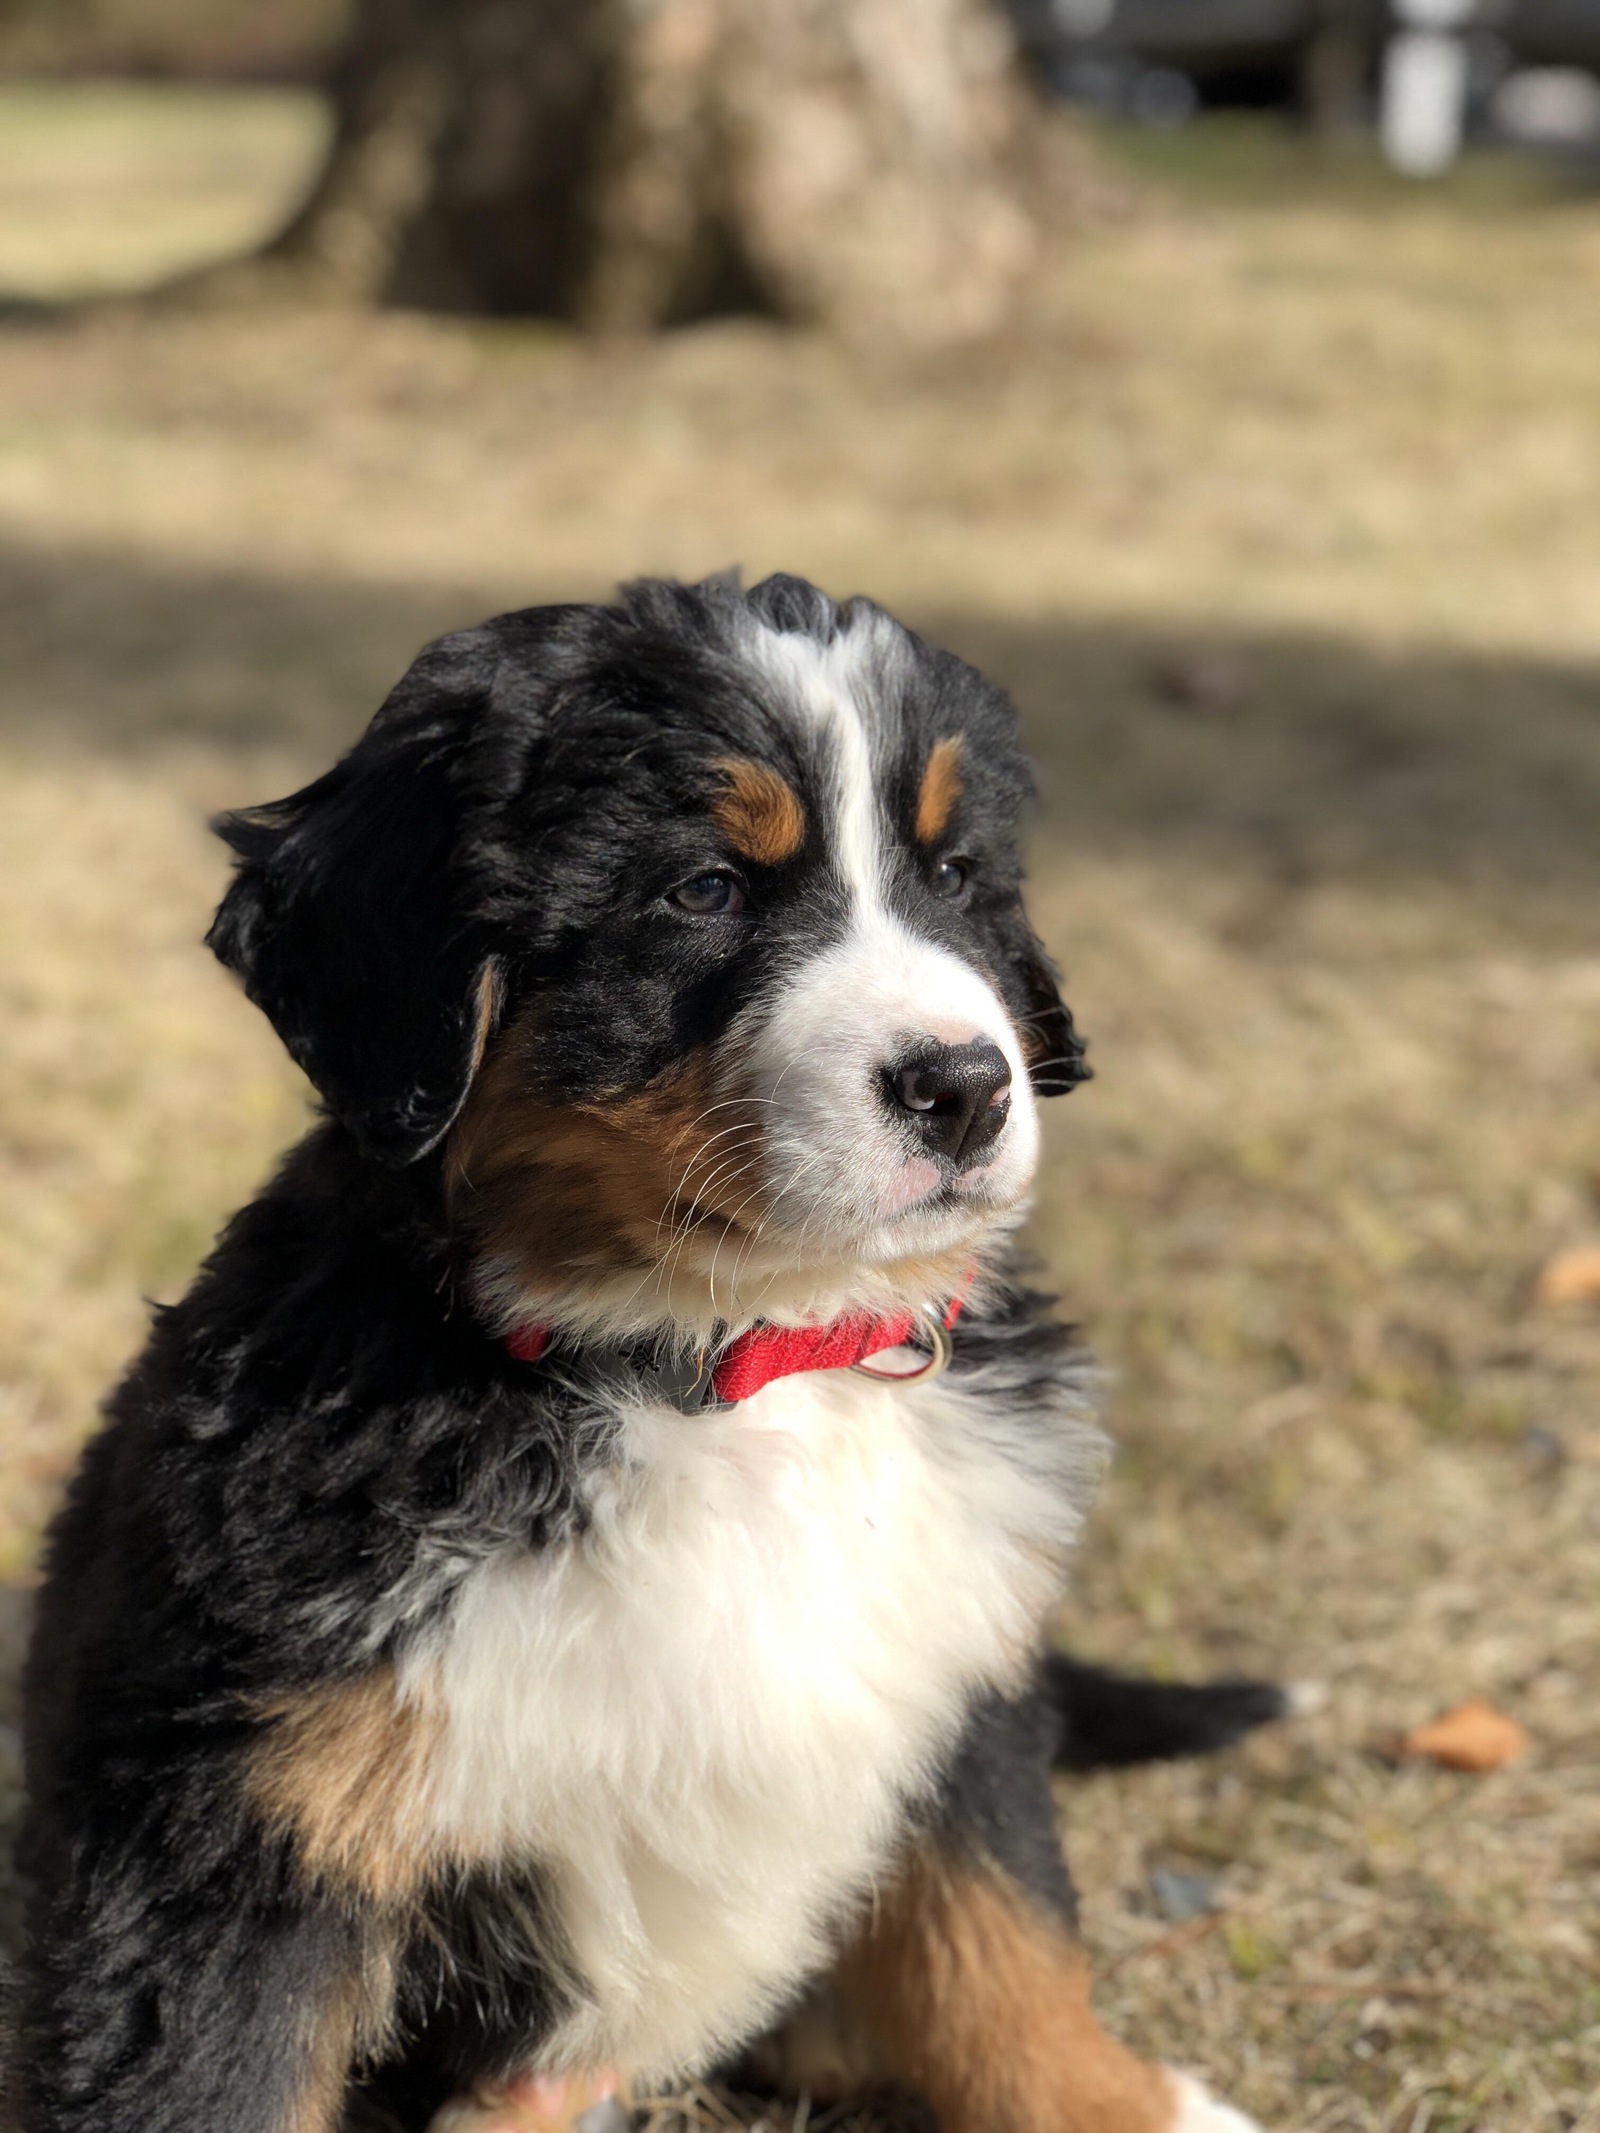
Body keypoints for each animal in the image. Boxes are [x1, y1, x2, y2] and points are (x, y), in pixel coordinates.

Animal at [18, 575, 1288, 2133]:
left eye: (954, 878)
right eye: (703, 890)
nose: (964, 1088)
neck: (720, 1366)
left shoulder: (957, 1661)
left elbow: (997, 1929)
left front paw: (1108, 2099)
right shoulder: (242, 1814)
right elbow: (202, 2077)